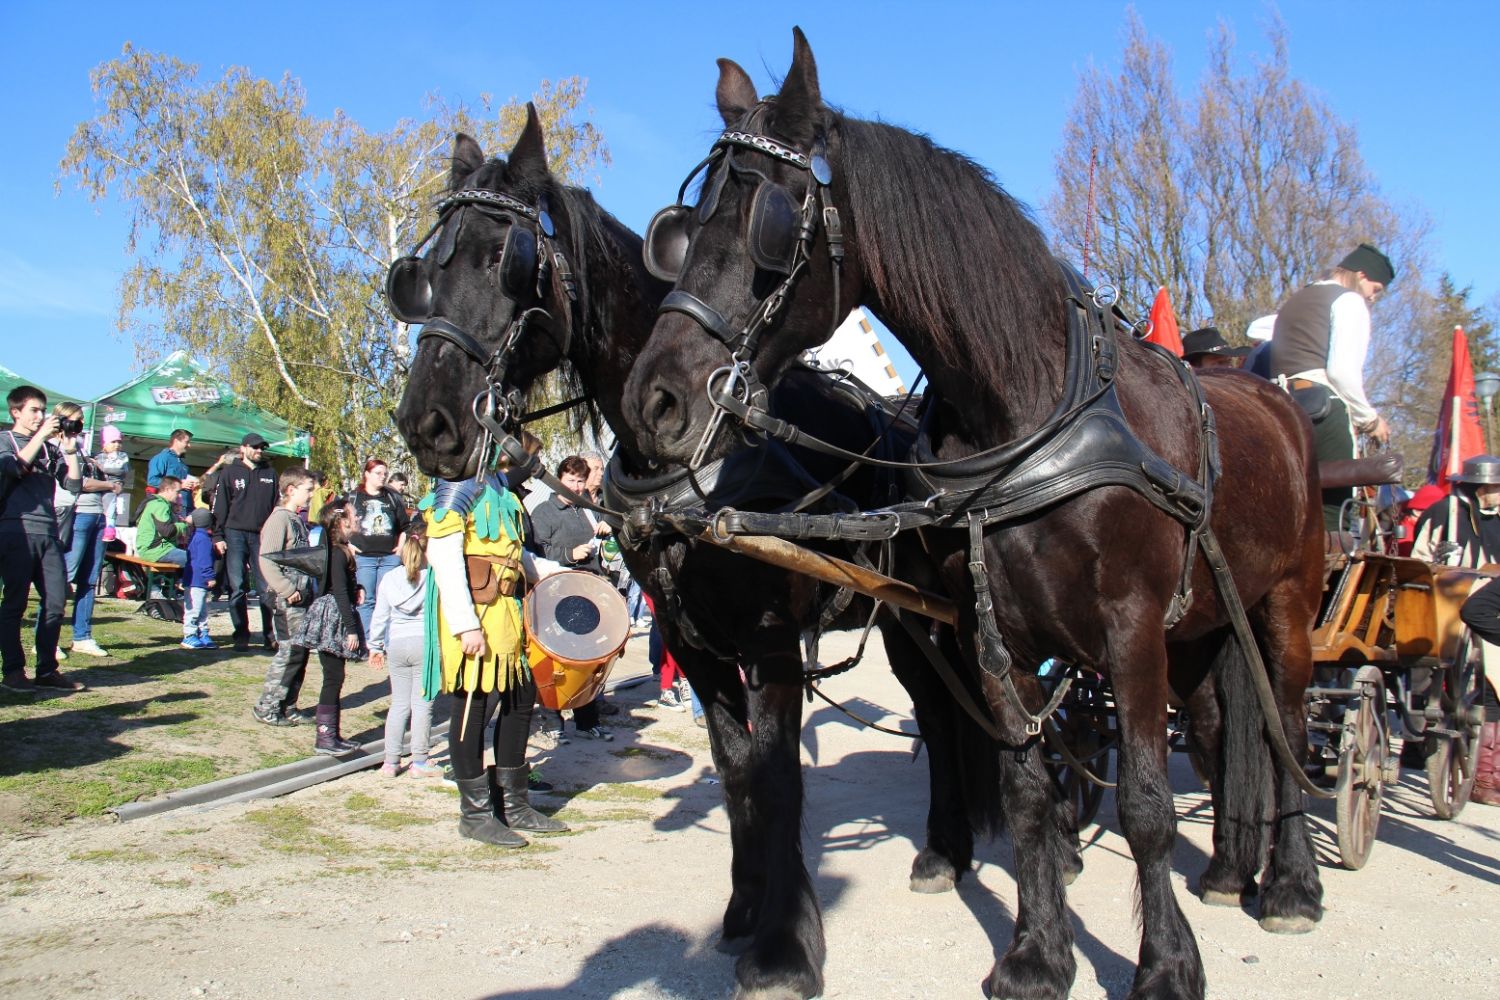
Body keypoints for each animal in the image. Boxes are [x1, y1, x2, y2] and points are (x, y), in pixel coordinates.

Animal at [392, 105, 1008, 999]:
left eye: (508, 259)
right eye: (424, 274)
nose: (426, 422)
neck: (697, 464)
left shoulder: (770, 642)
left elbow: (779, 778)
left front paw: (787, 945)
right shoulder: (692, 640)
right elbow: (736, 769)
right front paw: (746, 906)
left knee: (953, 708)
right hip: (904, 620)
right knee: (937, 709)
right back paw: (945, 849)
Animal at [621, 30, 1327, 1000]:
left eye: (772, 215)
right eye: (680, 230)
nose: (653, 400)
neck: (1027, 413)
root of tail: (1277, 399)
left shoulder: (1130, 629)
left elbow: (1147, 805)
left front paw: (1166, 965)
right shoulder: (1004, 634)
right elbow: (1027, 792)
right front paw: (1037, 955)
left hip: (1284, 606)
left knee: (1285, 723)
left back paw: (1291, 883)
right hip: (1199, 628)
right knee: (1222, 728)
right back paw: (1225, 869)